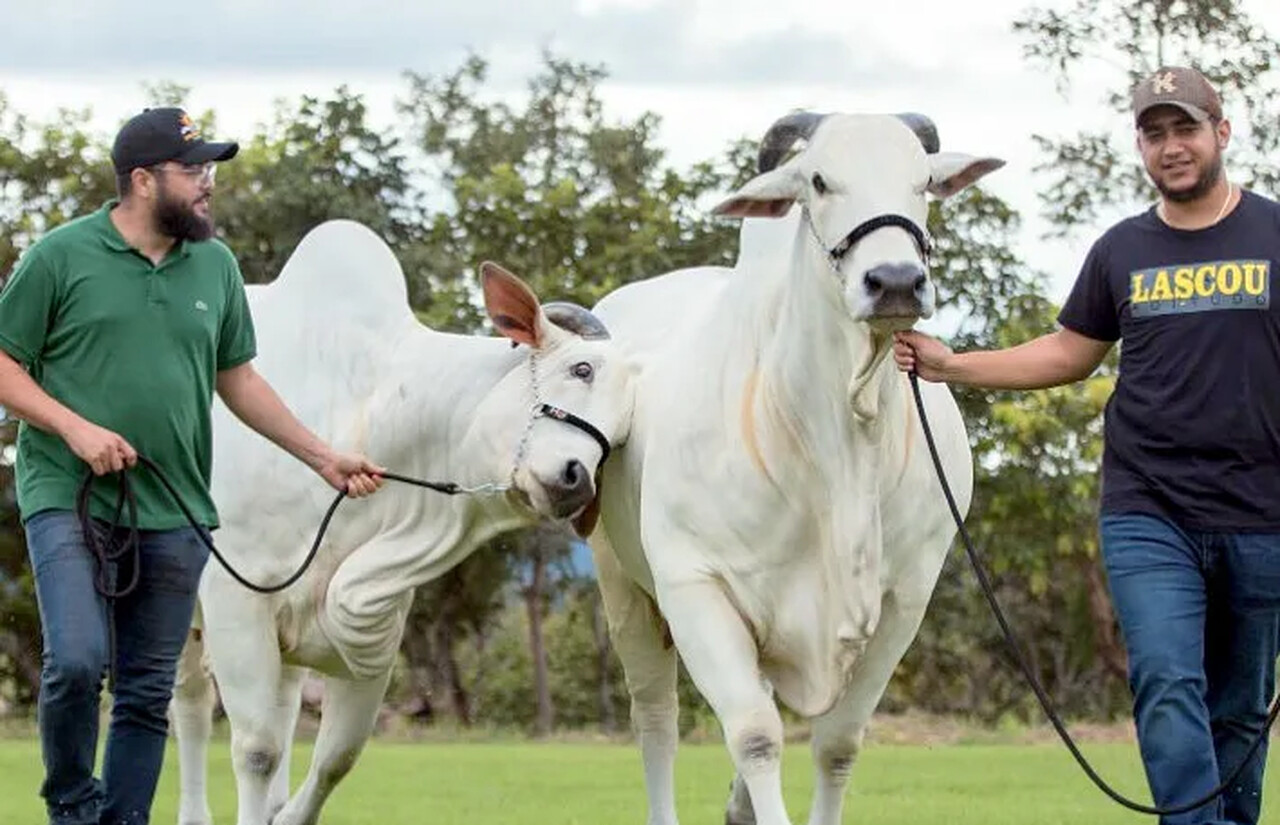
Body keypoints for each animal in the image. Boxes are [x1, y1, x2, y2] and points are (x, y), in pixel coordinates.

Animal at [170, 220, 634, 823]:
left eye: (622, 431)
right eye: (581, 369)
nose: (576, 479)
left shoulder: (374, 621)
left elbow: (337, 756)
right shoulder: (236, 599)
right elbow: (257, 750)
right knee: (190, 708)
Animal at [586, 111, 1003, 823]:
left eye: (924, 180)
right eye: (818, 180)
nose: (895, 281)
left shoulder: (903, 603)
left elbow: (837, 745)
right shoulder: (695, 586)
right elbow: (756, 736)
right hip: (624, 587)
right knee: (656, 722)